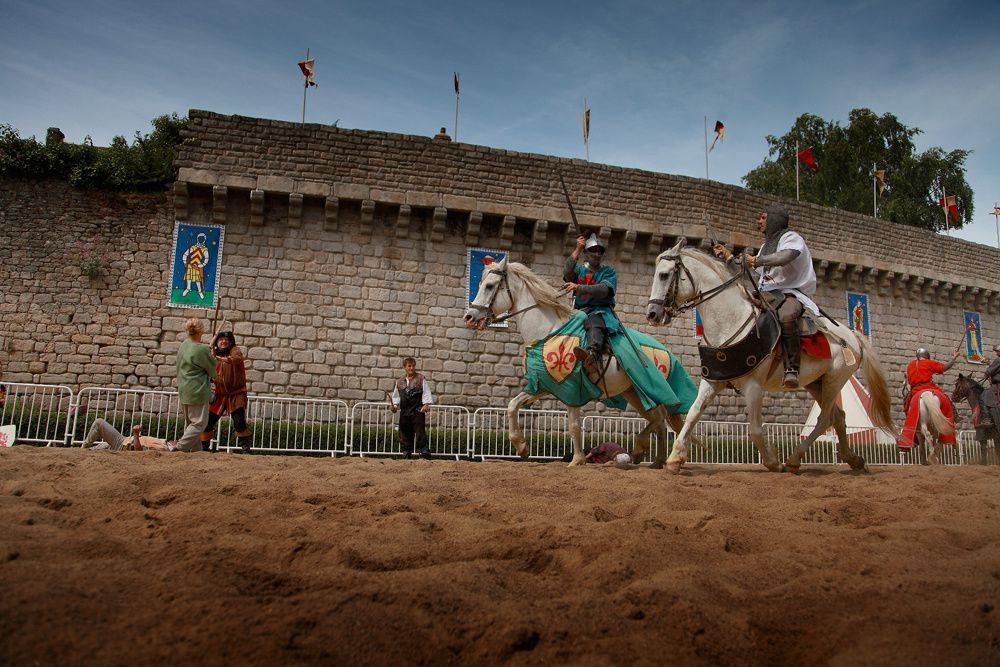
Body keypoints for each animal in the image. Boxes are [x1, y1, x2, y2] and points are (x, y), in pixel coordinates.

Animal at [462, 258, 688, 468]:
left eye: (490, 285)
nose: (469, 316)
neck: (548, 330)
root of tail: (665, 350)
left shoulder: (571, 388)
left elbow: (574, 426)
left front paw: (577, 460)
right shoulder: (544, 386)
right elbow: (512, 405)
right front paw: (522, 446)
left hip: (647, 391)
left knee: (658, 420)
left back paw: (643, 449)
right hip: (633, 393)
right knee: (658, 421)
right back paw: (657, 461)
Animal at [648, 240, 900, 474]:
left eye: (664, 275)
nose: (652, 314)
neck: (731, 321)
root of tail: (852, 334)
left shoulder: (753, 386)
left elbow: (755, 429)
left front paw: (772, 461)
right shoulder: (713, 381)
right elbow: (693, 414)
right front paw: (674, 458)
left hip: (834, 380)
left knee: (825, 420)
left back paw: (795, 459)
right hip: (815, 383)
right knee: (838, 417)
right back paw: (853, 459)